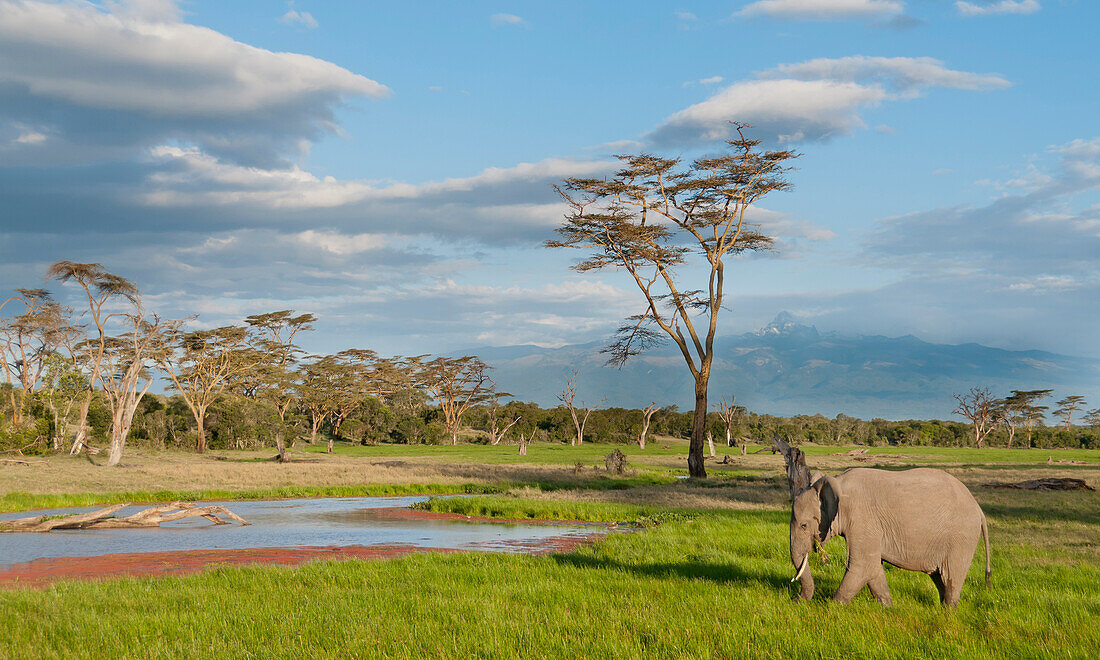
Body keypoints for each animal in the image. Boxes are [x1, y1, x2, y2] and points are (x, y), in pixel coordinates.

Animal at [787, 466, 994, 607]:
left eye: (804, 525)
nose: (795, 599)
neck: (838, 484)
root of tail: (978, 509)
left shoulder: (862, 519)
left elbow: (863, 565)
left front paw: (831, 607)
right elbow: (874, 567)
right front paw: (888, 607)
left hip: (962, 538)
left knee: (951, 577)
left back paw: (947, 613)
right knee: (938, 576)